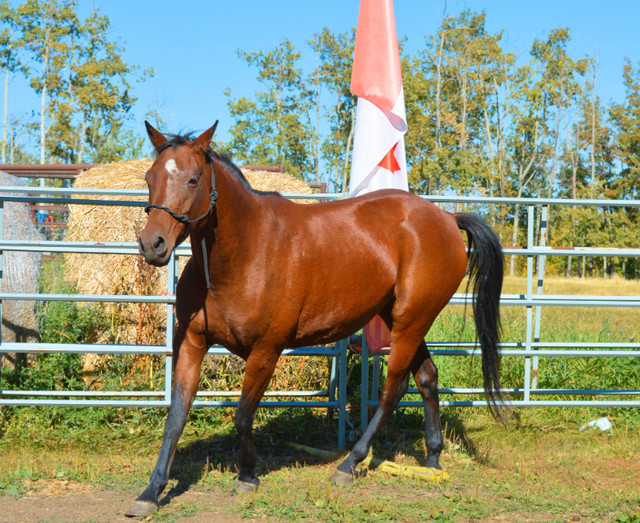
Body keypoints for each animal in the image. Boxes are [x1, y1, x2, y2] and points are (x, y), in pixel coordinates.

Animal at [124, 123, 504, 520]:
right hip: (404, 319)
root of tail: (447, 218)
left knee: (393, 389)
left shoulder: (266, 351)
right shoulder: (192, 343)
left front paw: (248, 474)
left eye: (194, 179)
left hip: (410, 322)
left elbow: (243, 415)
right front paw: (151, 492)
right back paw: (432, 460)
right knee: (427, 378)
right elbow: (175, 418)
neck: (242, 254)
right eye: (150, 177)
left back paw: (349, 464)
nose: (152, 244)